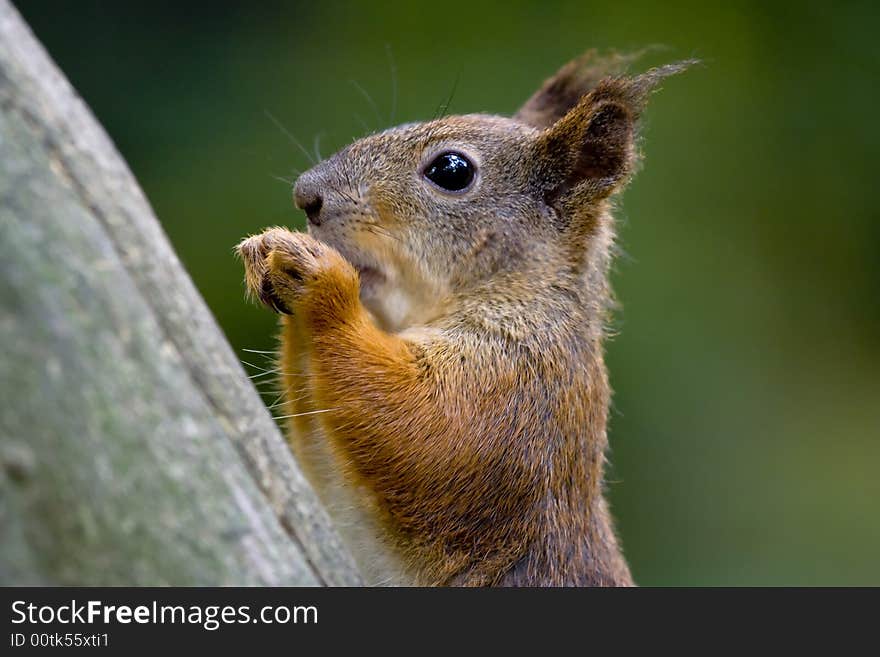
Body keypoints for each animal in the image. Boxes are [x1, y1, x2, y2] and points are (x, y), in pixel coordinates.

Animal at [237, 51, 692, 584]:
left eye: (451, 170)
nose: (305, 195)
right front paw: (264, 251)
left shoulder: (520, 386)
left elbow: (428, 426)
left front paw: (324, 282)